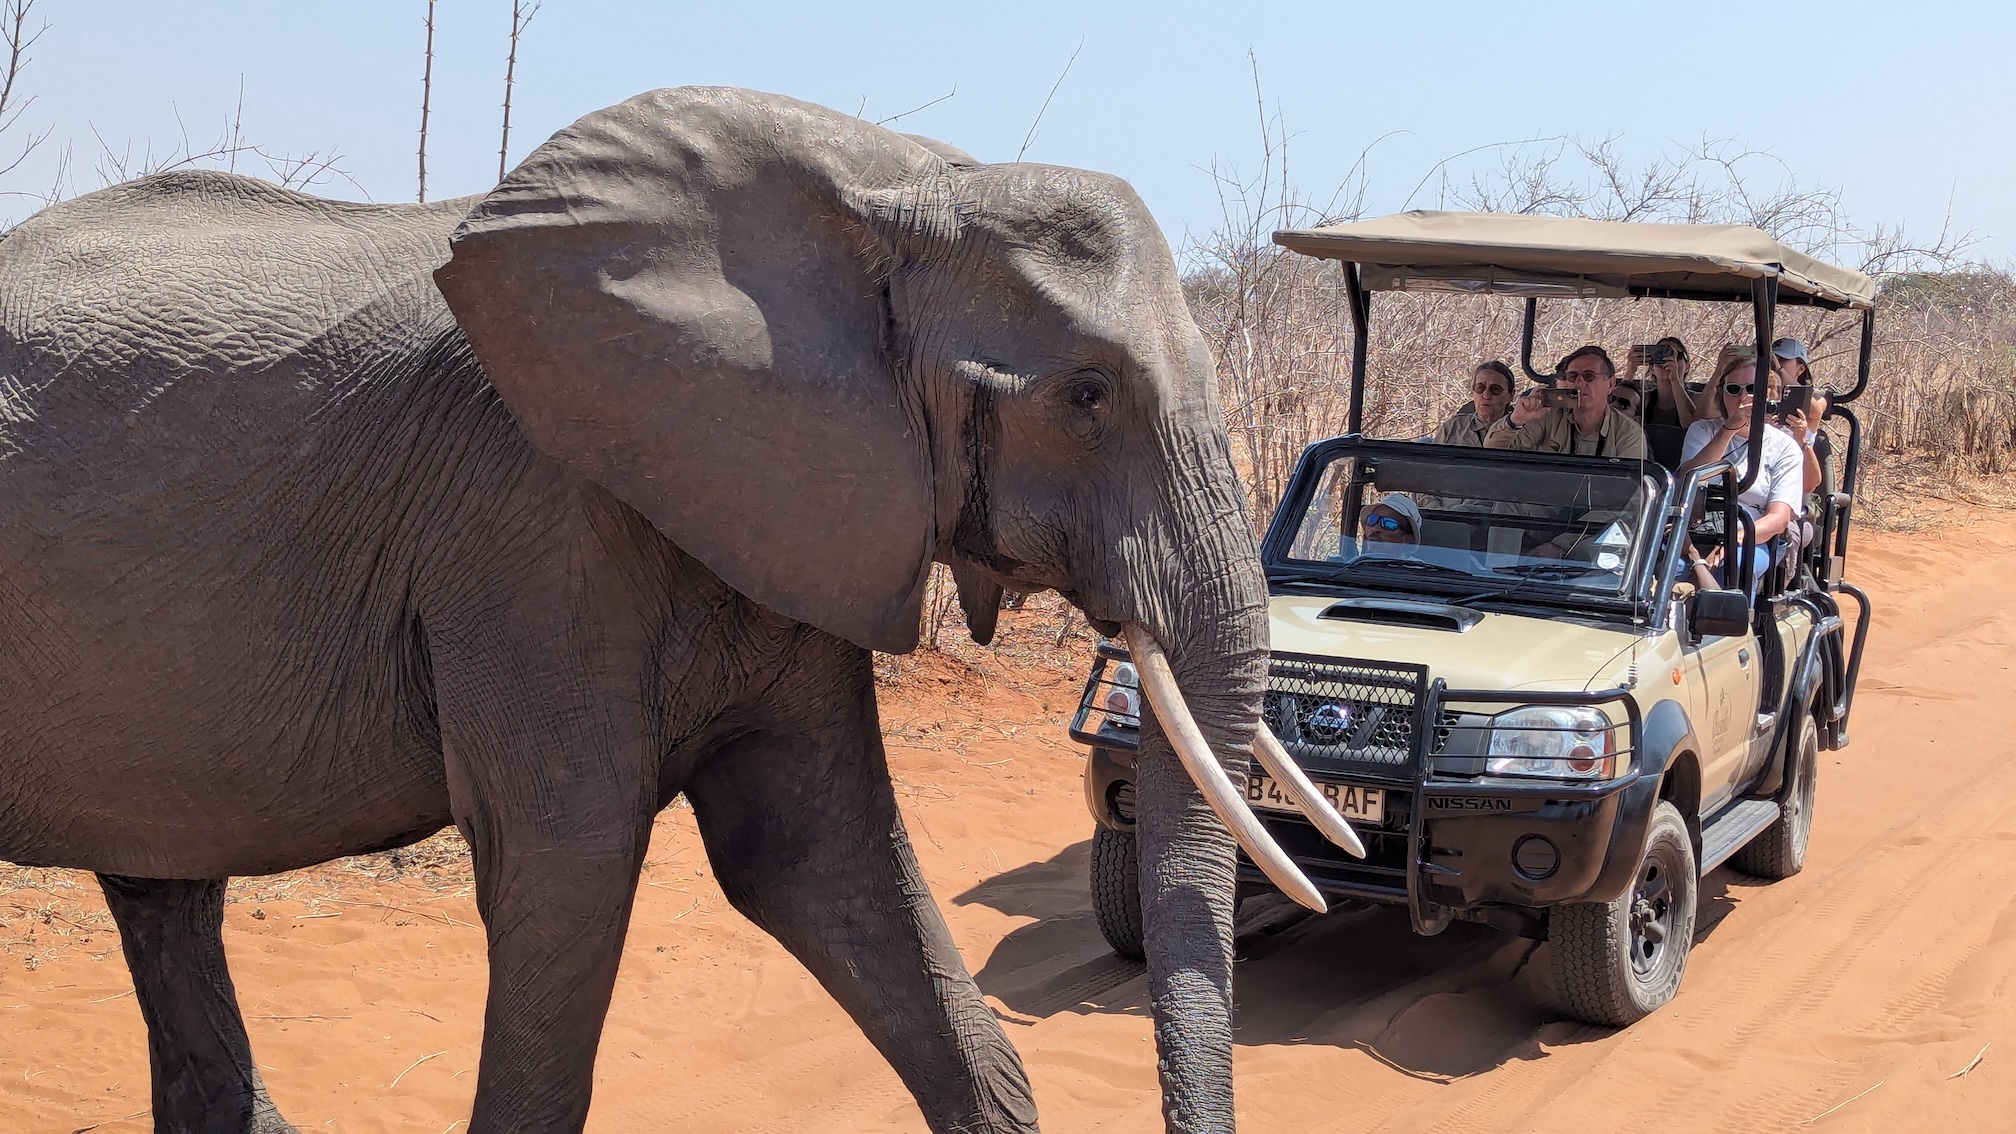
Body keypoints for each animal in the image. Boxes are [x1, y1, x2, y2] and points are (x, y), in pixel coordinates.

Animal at [0, 87, 1321, 1132]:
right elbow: (570, 865)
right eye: (1086, 395)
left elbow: (816, 857)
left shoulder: (792, 502)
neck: (899, 186)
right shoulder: (526, 528)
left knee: (164, 886)